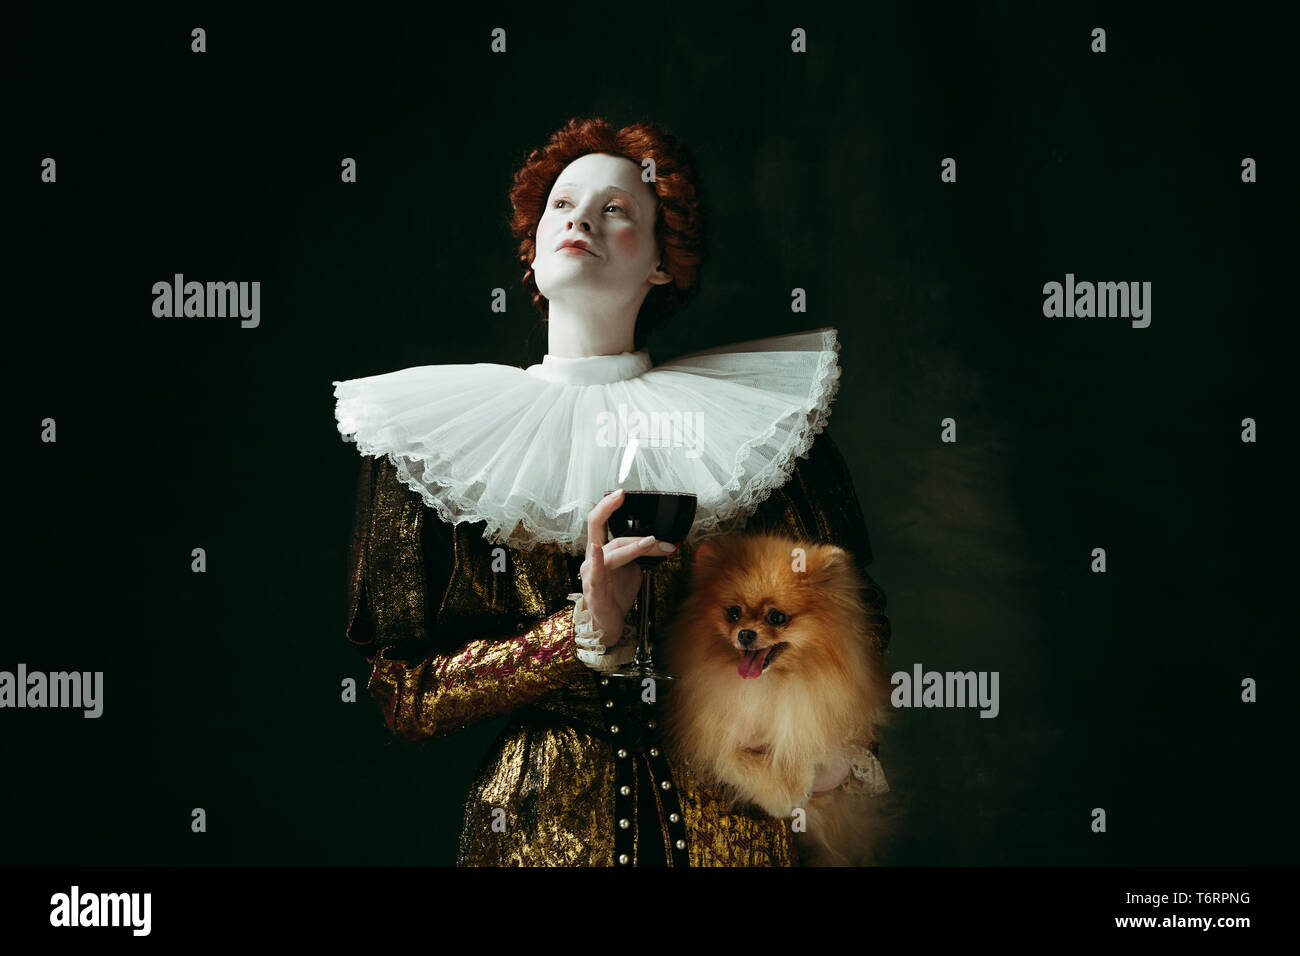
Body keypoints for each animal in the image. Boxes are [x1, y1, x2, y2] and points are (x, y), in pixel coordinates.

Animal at [660, 530, 894, 868]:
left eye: (777, 617)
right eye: (733, 613)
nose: (745, 633)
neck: (767, 683)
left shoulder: (822, 712)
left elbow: (801, 738)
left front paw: (797, 776)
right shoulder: (709, 731)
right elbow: (735, 760)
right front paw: (784, 796)